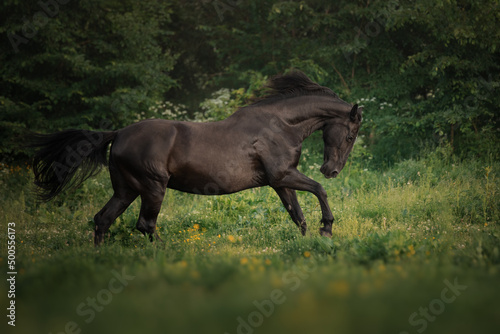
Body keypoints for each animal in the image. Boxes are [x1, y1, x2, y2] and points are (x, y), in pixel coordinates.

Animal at [32, 71, 364, 245]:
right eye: (350, 135)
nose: (331, 170)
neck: (280, 125)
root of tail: (119, 133)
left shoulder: (280, 182)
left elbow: (298, 216)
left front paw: (309, 243)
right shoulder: (283, 175)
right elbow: (319, 191)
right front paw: (327, 228)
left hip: (126, 189)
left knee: (103, 219)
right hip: (152, 188)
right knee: (145, 224)